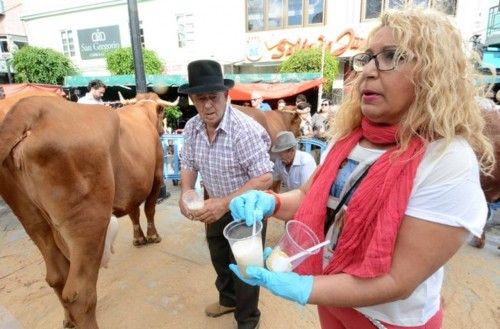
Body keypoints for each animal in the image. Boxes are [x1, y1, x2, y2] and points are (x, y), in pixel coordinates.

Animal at [0, 93, 172, 328]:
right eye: (162, 114)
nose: (163, 130)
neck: (142, 113)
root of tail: (33, 106)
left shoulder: (133, 187)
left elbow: (134, 212)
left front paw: (139, 238)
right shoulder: (156, 177)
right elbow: (149, 209)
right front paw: (153, 236)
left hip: (33, 220)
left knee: (56, 278)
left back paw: (68, 320)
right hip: (88, 221)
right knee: (80, 294)